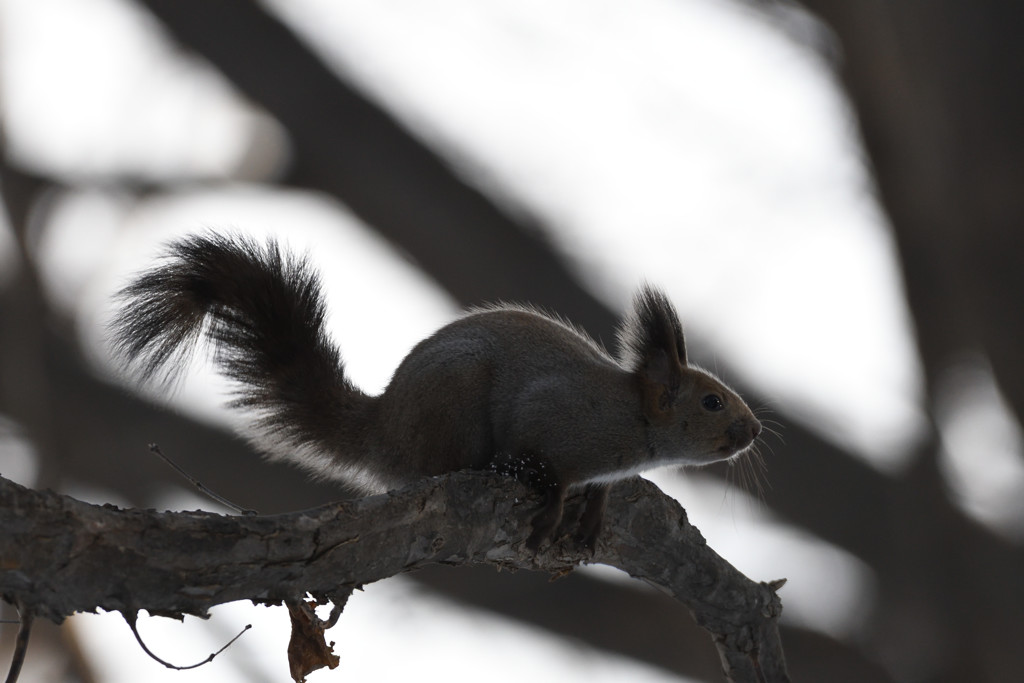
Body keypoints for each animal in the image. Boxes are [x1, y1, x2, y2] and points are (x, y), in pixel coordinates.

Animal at [112, 235, 765, 548]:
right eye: (712, 400)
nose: (755, 429)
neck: (630, 420)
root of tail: (383, 429)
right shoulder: (552, 413)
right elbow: (548, 464)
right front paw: (556, 504)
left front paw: (595, 512)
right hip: (453, 407)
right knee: (445, 466)